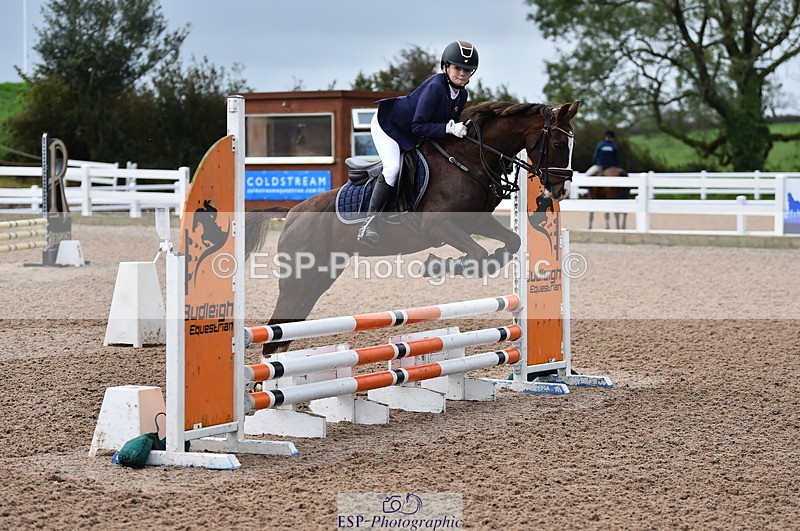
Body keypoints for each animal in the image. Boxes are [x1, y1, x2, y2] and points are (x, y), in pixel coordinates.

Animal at [245, 100, 581, 356]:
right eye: (558, 143)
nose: (561, 191)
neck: (469, 159)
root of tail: (293, 212)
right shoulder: (440, 226)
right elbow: (477, 254)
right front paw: (441, 266)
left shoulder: (478, 222)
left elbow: (511, 243)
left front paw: (476, 262)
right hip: (299, 277)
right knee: (277, 326)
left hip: (321, 275)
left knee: (288, 326)